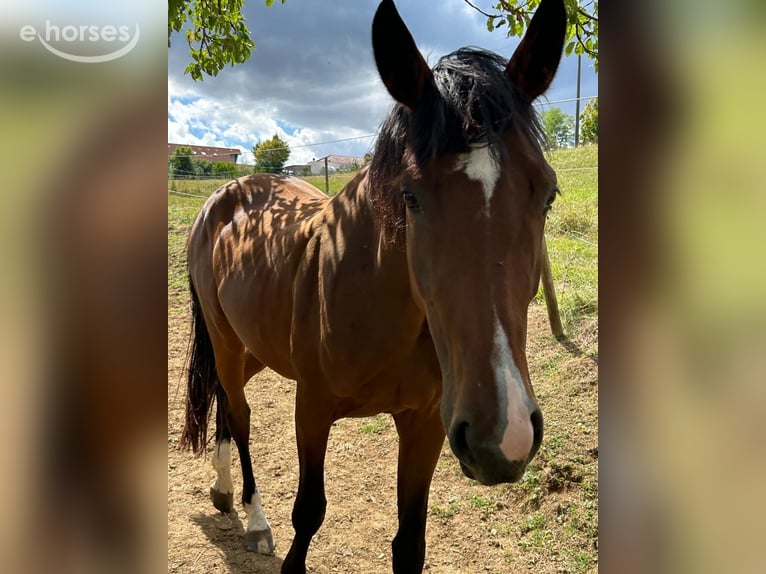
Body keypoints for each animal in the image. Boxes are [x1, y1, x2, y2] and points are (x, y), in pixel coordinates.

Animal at [180, 0, 566, 572]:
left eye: (548, 194)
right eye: (410, 195)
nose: (505, 434)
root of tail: (225, 194)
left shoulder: (427, 423)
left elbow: (410, 543)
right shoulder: (312, 409)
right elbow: (308, 513)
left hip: (255, 345)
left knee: (226, 404)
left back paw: (223, 491)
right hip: (226, 340)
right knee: (240, 413)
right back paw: (253, 518)